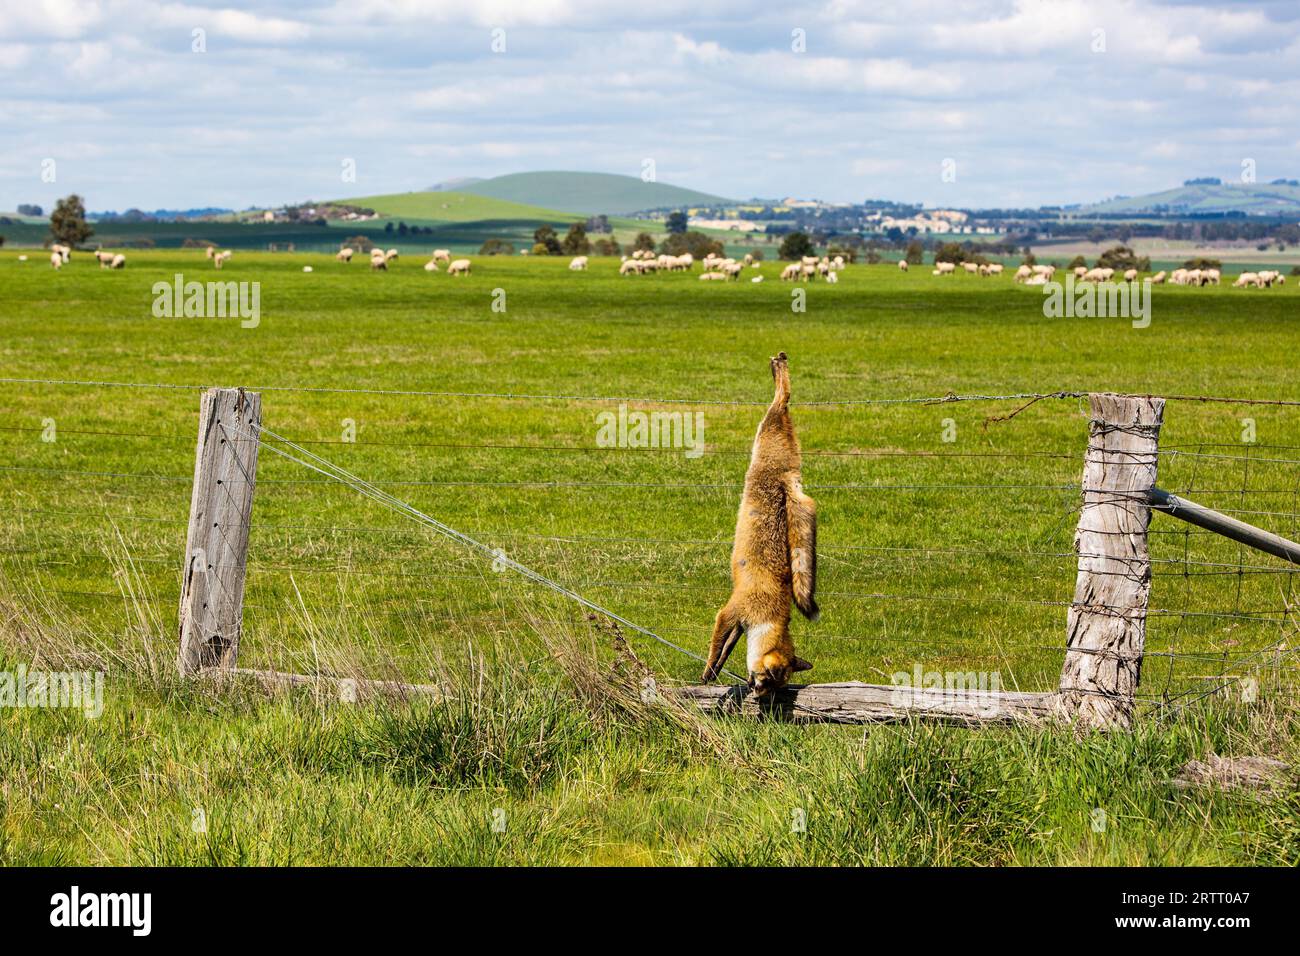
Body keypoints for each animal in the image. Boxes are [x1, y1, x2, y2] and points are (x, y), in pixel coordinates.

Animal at [702, 351, 811, 697]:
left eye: (777, 686)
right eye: (768, 680)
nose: (759, 694)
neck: (769, 614)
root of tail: (786, 474)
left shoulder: (739, 624)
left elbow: (726, 649)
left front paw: (716, 672)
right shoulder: (731, 612)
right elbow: (715, 648)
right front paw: (707, 674)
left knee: (784, 399)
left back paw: (779, 368)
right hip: (765, 433)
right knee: (781, 399)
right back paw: (779, 371)